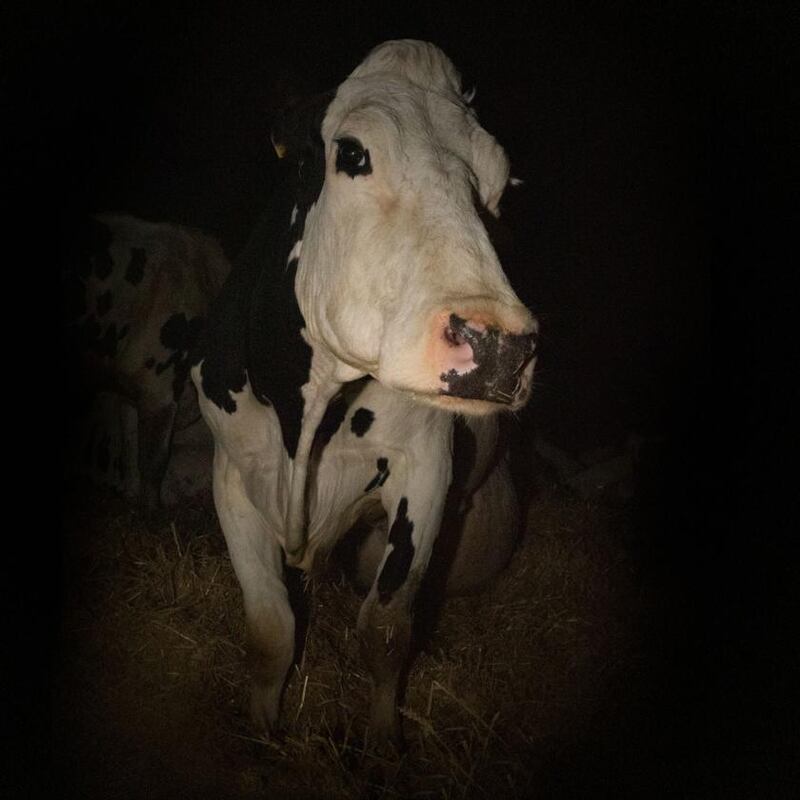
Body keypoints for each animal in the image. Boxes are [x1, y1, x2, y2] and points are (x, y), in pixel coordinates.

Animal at [63, 214, 231, 507]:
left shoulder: (144, 386)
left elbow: (141, 453)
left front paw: (140, 503)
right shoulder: (147, 385)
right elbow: (142, 455)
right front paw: (142, 503)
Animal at [191, 40, 539, 746]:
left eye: (498, 185)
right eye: (352, 152)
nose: (500, 346)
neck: (306, 417)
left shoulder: (425, 468)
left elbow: (384, 628)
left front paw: (382, 743)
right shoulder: (231, 471)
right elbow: (271, 628)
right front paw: (263, 731)